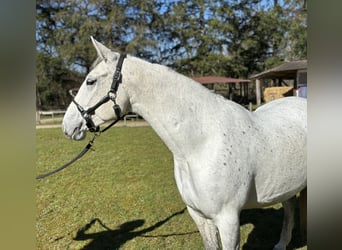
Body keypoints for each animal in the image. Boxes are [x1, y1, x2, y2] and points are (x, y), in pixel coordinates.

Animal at [62, 37, 306, 250]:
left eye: (91, 81)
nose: (67, 125)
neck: (201, 145)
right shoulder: (199, 216)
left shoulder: (228, 220)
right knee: (290, 208)